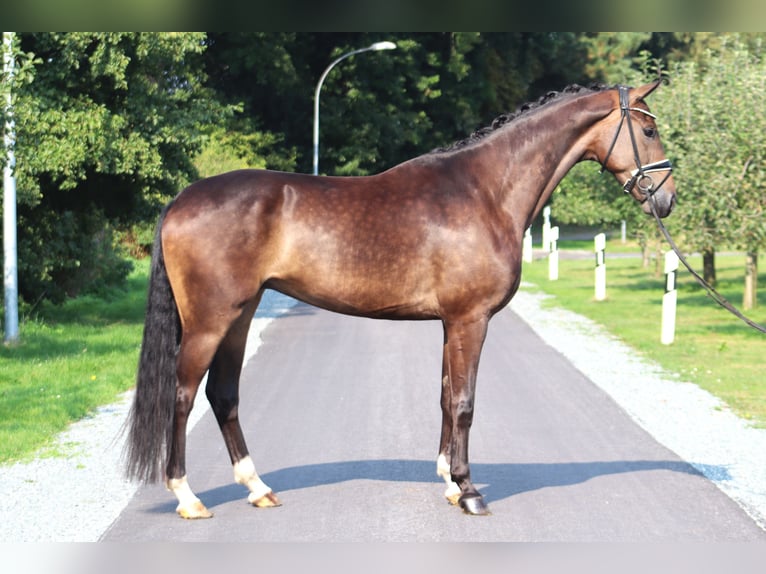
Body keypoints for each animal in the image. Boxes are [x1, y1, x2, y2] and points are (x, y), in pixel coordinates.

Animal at [124, 80, 680, 516]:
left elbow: (445, 395)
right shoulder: (471, 319)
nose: (667, 198)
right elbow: (464, 402)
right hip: (210, 321)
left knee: (224, 395)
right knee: (183, 394)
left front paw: (450, 482)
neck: (485, 191)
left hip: (240, 316)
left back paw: (258, 488)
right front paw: (470, 491)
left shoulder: (450, 322)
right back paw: (188, 497)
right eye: (649, 131)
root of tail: (181, 199)